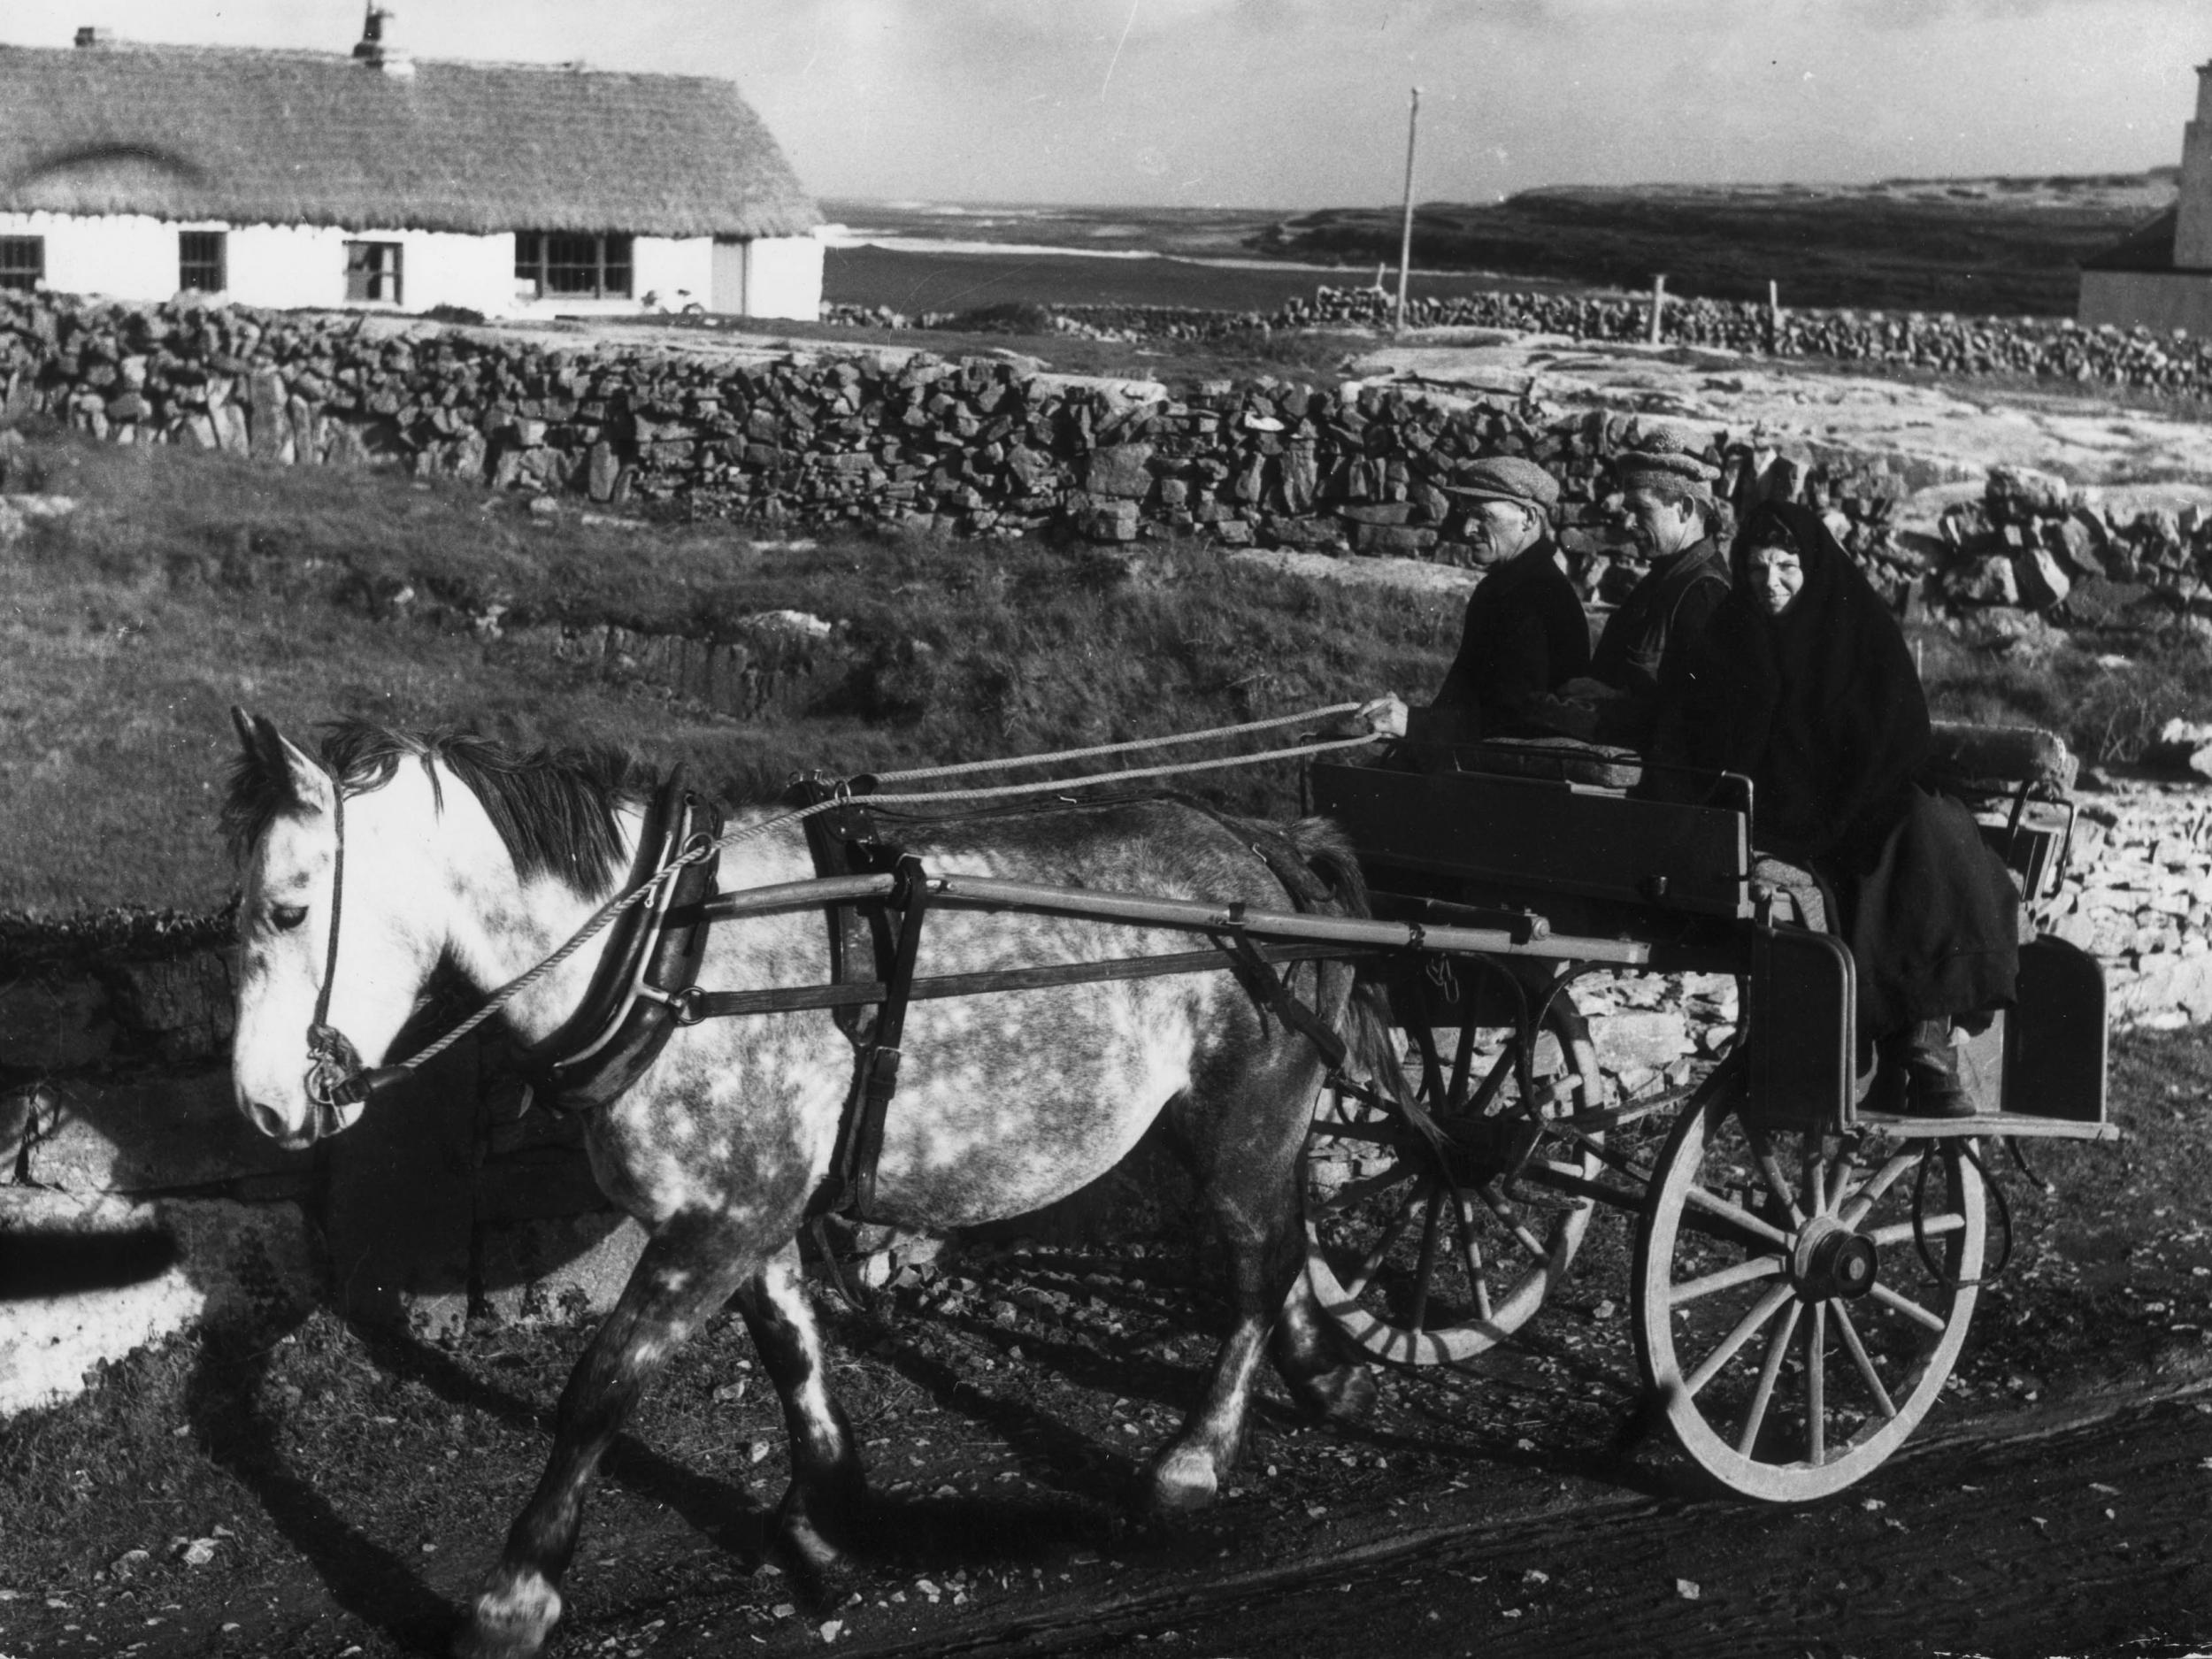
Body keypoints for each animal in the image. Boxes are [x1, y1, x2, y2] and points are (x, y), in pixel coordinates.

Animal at [219, 712, 1363, 1659]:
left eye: (289, 909)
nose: (264, 1108)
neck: (663, 949)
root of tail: (1268, 847)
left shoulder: (716, 1224)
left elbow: (599, 1391)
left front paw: (516, 1595)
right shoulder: (753, 1213)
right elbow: (791, 1353)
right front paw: (827, 1512)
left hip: (1238, 1120)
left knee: (1256, 1273)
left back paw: (1196, 1459)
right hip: (1249, 1124)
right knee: (1287, 1235)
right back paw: (1320, 1360)